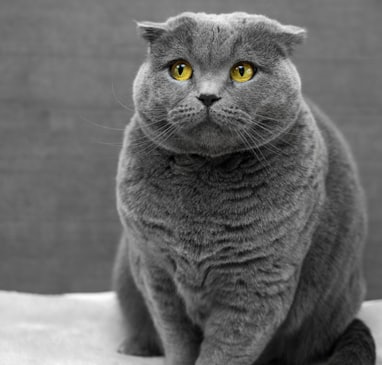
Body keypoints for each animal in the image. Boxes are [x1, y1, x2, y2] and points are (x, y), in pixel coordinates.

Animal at [112, 11, 376, 364]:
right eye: (180, 69)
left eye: (243, 70)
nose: (208, 96)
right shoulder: (155, 270)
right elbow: (176, 338)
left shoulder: (260, 279)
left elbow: (227, 348)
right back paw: (135, 346)